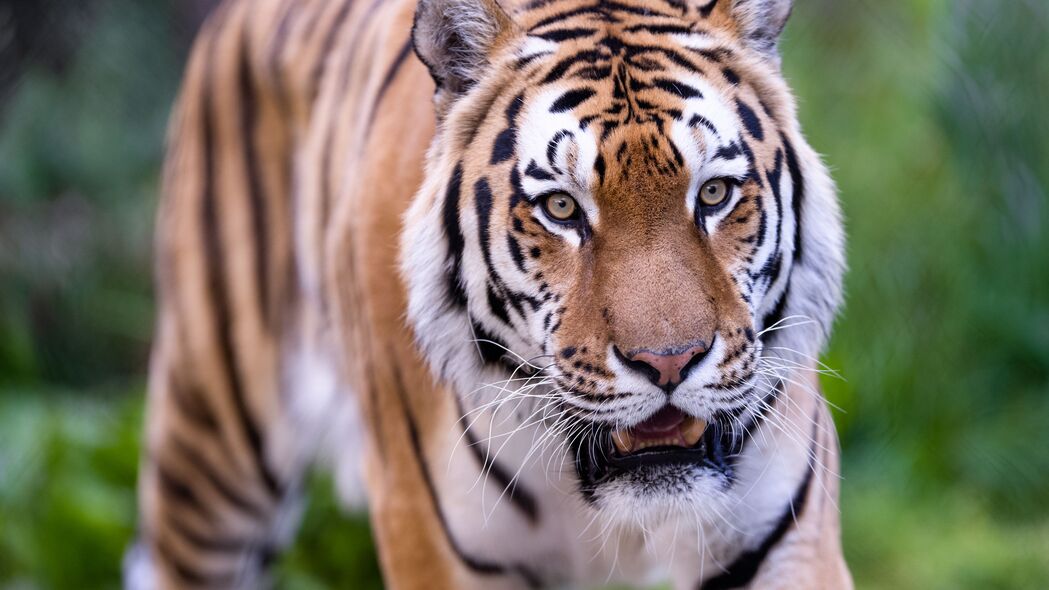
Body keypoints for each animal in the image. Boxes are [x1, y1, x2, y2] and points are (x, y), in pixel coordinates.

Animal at [126, 0, 851, 583]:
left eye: (714, 193)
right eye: (561, 208)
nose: (669, 363)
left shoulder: (780, 538)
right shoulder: (431, 540)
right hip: (213, 452)